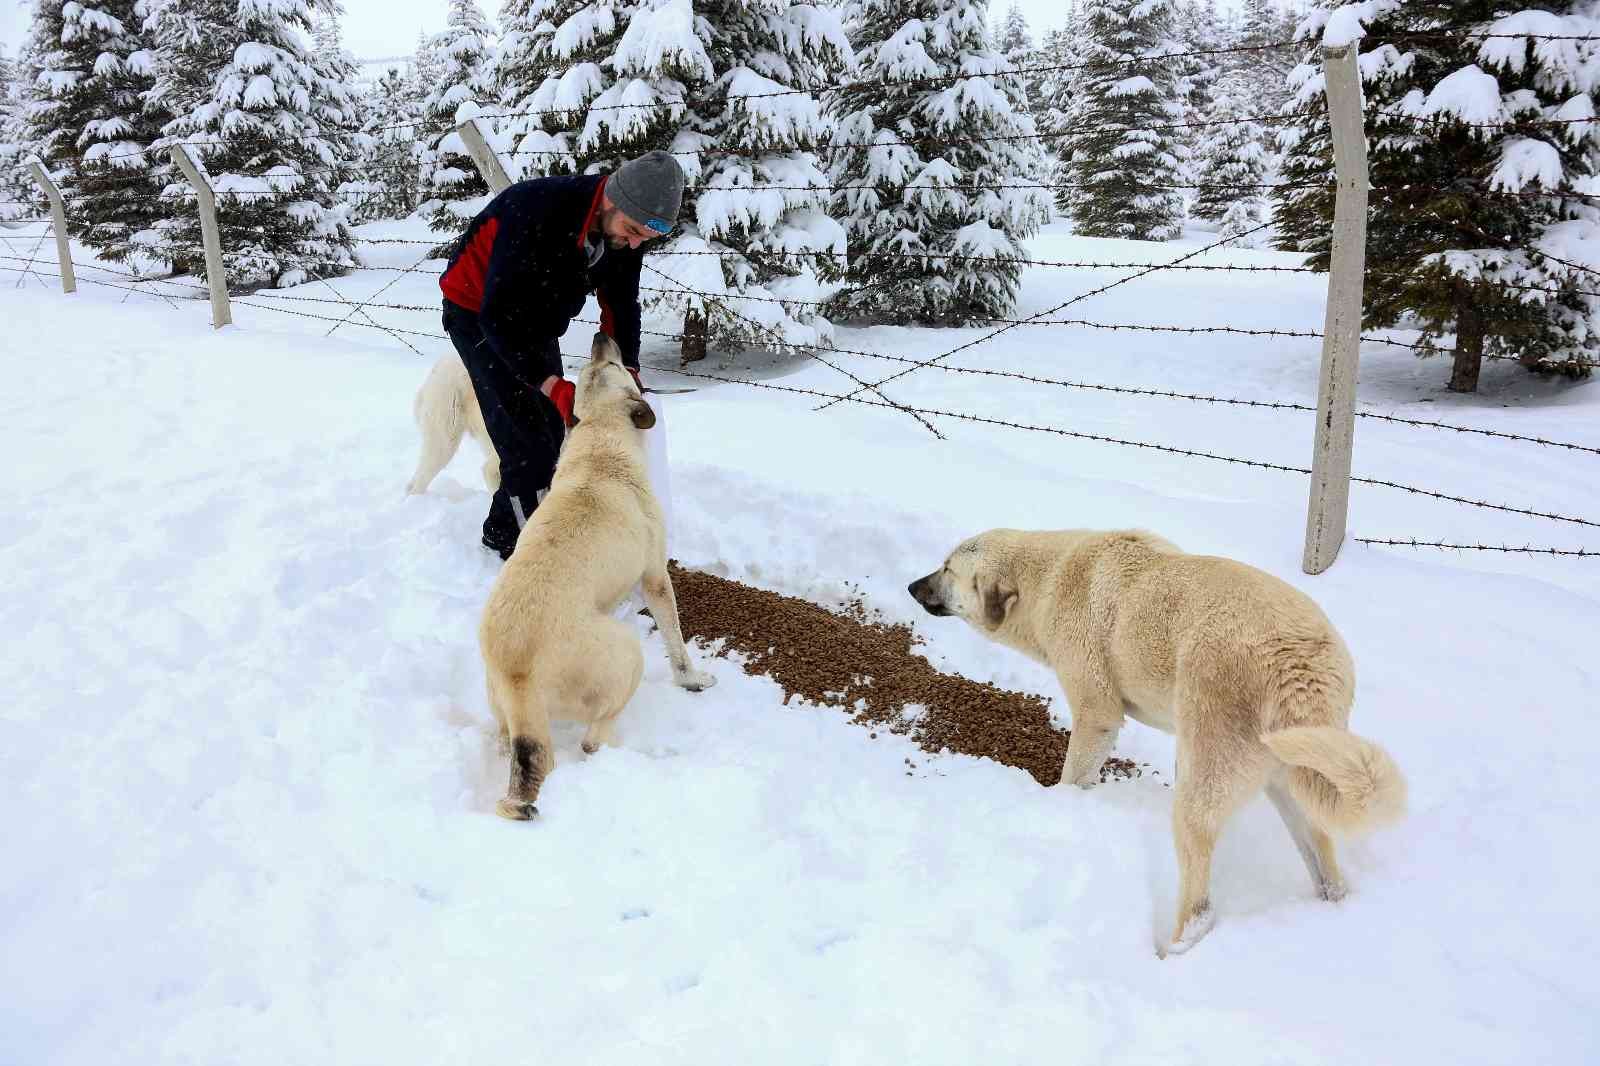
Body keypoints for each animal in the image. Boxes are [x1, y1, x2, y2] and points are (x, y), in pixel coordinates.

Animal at [473, 336, 713, 816]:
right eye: (615, 368)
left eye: (593, 367)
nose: (603, 337)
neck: (600, 440)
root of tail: (519, 674)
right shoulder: (655, 577)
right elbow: (676, 643)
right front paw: (692, 679)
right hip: (627, 655)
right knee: (591, 741)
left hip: (501, 708)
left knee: (511, 740)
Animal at [908, 528, 1408, 947]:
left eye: (948, 568)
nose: (913, 586)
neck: (1048, 579)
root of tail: (1300, 669)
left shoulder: (1097, 707)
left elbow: (1079, 762)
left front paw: (1062, 808)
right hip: (1297, 768)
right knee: (1323, 857)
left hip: (1207, 753)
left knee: (1199, 881)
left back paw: (1178, 944)